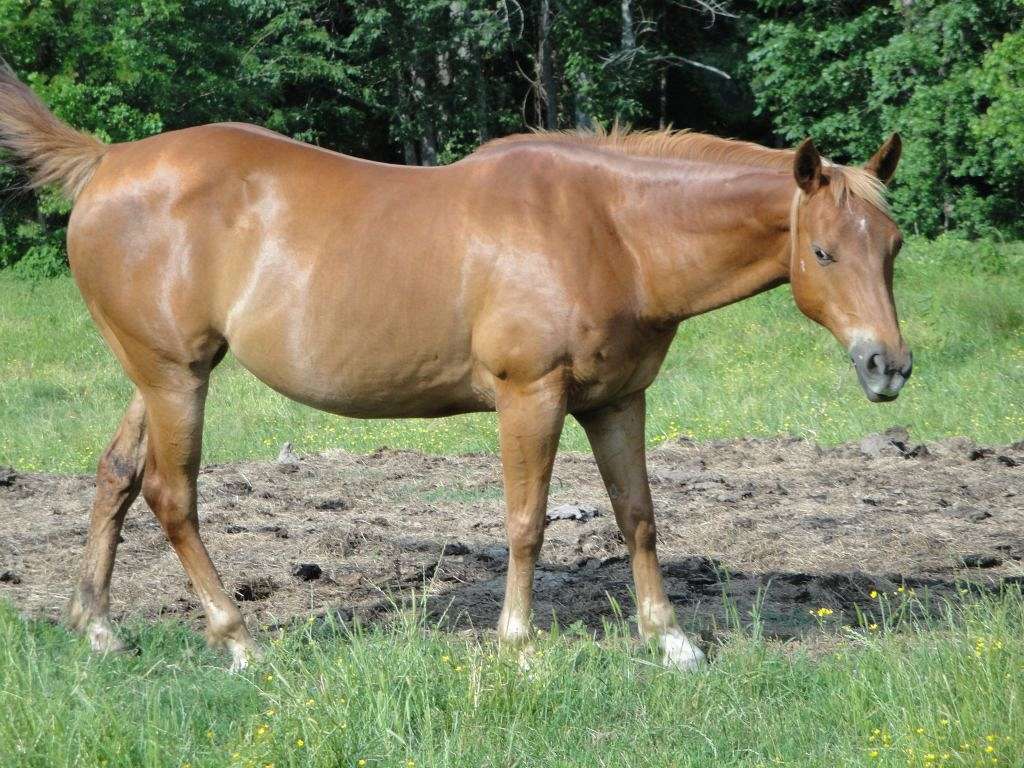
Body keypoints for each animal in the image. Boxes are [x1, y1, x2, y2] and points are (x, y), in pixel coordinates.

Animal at [0, 65, 911, 670]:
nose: (888, 367)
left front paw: (671, 638)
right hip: (175, 379)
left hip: (158, 374)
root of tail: (107, 161)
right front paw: (520, 644)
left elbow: (638, 516)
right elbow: (526, 521)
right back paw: (239, 639)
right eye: (823, 251)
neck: (610, 230)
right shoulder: (530, 397)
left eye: (894, 246)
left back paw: (100, 627)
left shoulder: (618, 401)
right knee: (171, 496)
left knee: (117, 476)